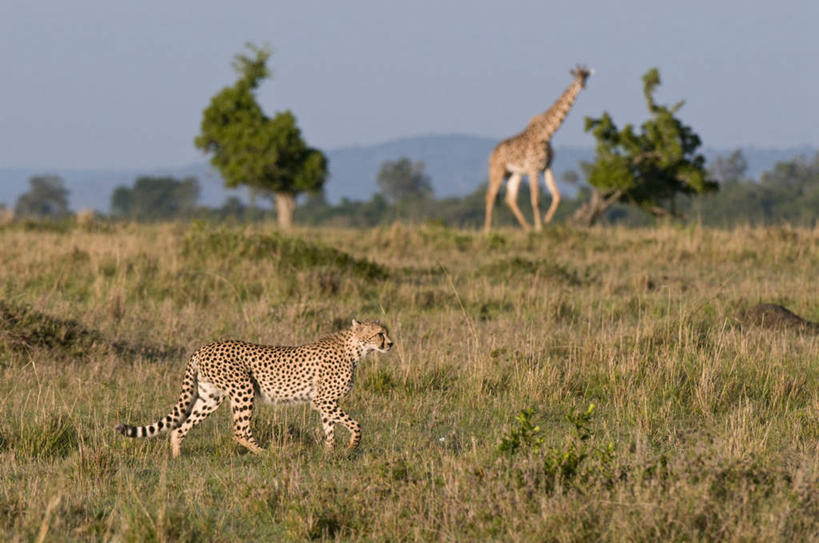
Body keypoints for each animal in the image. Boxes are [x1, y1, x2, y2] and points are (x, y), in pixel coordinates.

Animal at [115, 320, 394, 456]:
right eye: (380, 333)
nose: (391, 344)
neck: (356, 348)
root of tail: (203, 347)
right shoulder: (323, 400)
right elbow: (356, 424)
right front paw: (351, 447)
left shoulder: (326, 402)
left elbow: (330, 429)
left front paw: (330, 453)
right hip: (244, 388)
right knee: (239, 429)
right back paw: (266, 453)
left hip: (210, 397)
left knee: (179, 427)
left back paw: (176, 455)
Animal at [484, 66, 592, 232]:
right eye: (577, 77)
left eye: (586, 76)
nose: (583, 86)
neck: (547, 133)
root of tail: (492, 154)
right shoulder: (533, 168)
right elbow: (536, 199)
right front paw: (539, 228)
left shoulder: (546, 167)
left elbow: (557, 196)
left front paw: (545, 223)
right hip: (498, 170)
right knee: (490, 195)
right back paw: (487, 230)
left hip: (514, 173)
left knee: (510, 198)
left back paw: (526, 227)